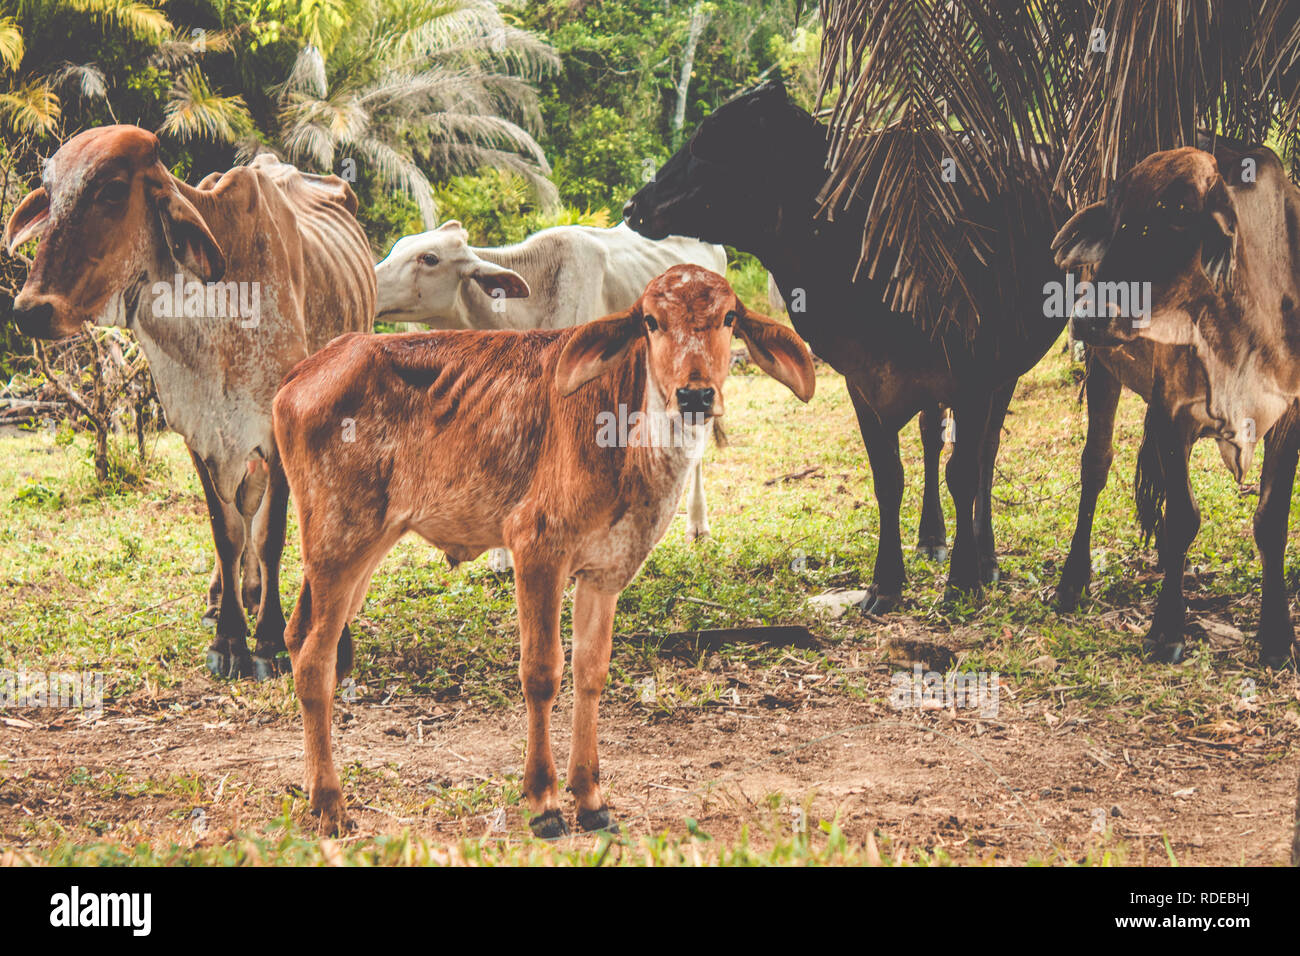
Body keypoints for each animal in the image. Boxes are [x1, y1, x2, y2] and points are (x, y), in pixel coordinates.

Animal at [273, 265, 811, 832]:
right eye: (650, 321)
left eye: (729, 318)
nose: (695, 395)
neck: (626, 441)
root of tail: (306, 368)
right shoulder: (535, 548)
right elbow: (541, 673)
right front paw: (544, 800)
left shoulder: (604, 573)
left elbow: (590, 672)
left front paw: (591, 797)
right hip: (339, 543)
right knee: (314, 662)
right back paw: (331, 803)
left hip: (361, 551)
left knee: (297, 636)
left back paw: (311, 787)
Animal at [1055, 145, 1300, 665]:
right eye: (1115, 221)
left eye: (1176, 217)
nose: (1088, 314)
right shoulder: (1173, 410)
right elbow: (1185, 515)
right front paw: (1167, 629)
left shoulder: (1290, 413)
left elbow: (1271, 520)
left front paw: (1276, 635)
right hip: (1104, 371)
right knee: (1096, 466)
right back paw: (1072, 581)